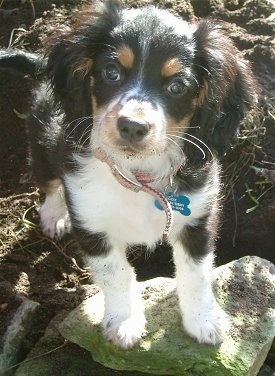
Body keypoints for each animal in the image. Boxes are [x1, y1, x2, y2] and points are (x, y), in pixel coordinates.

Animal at [1, 0, 258, 350]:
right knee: (50, 183)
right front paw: (124, 323)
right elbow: (116, 273)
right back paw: (54, 216)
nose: (133, 126)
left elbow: (197, 273)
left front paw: (204, 320)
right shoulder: (92, 225)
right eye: (111, 72)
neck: (138, 176)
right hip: (42, 141)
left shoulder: (199, 219)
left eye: (177, 86)